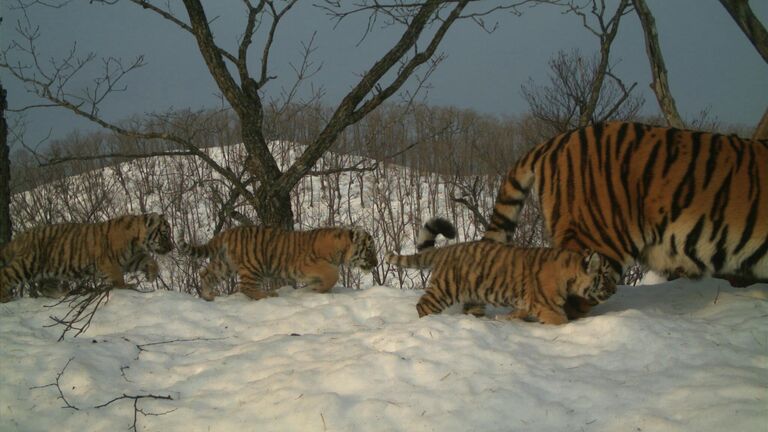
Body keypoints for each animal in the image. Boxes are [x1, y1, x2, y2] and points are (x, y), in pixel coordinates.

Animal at [0, 213, 174, 302]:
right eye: (165, 234)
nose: (172, 248)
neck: (137, 241)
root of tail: (21, 236)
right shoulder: (109, 262)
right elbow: (118, 278)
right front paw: (126, 287)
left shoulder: (131, 258)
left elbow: (148, 260)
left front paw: (151, 274)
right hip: (28, 263)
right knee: (6, 274)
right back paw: (5, 297)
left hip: (48, 271)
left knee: (45, 287)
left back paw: (63, 294)